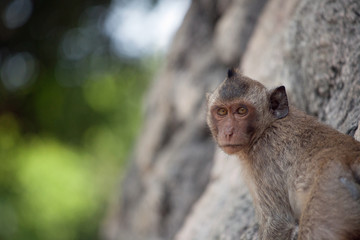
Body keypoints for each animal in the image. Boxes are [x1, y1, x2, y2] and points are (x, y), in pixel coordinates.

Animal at [207, 68, 360, 240]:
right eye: (222, 112)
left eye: (241, 111)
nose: (228, 132)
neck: (267, 127)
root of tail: (351, 158)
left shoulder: (263, 159)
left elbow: (278, 221)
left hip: (329, 197)